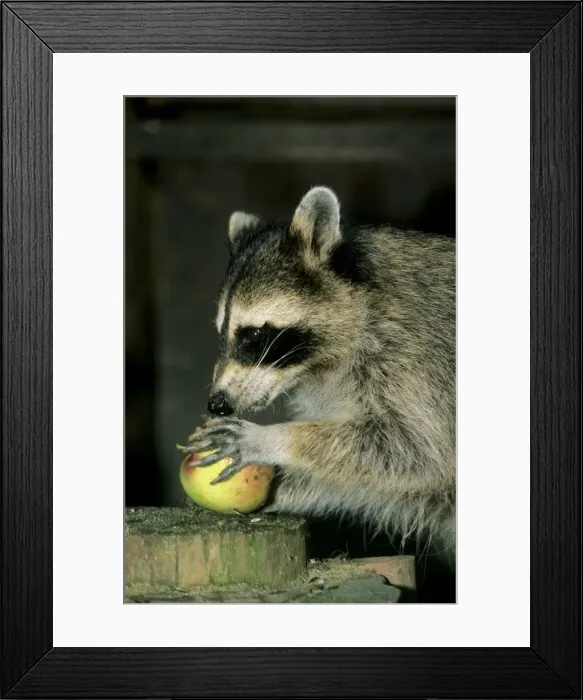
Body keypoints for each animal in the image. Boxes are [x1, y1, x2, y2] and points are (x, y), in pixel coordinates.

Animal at [186, 186, 456, 563]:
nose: (217, 403)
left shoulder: (416, 361)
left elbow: (420, 452)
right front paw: (280, 487)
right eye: (221, 333)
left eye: (254, 335)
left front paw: (274, 439)